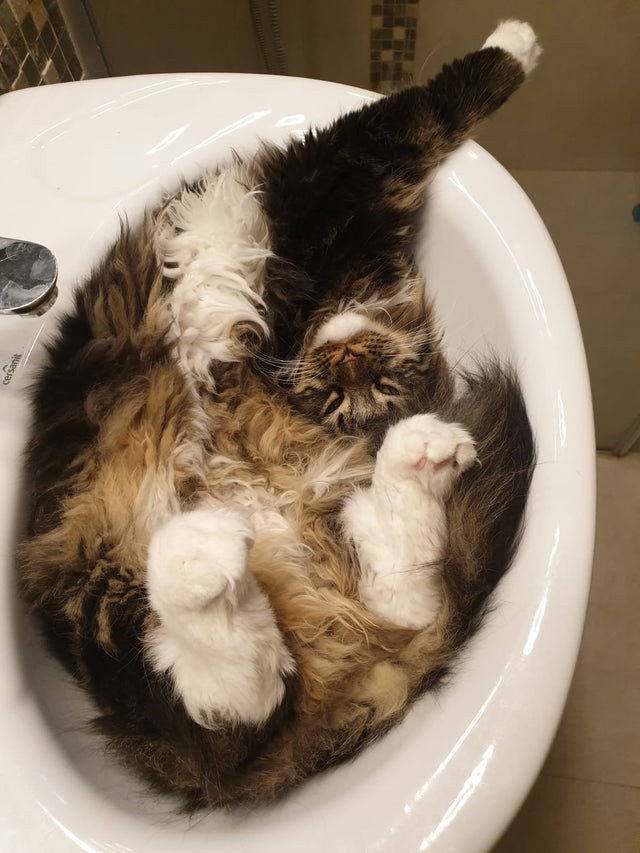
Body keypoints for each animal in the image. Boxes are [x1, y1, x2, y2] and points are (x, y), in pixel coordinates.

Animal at [18, 20, 540, 804]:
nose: (347, 365)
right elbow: (434, 108)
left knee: (237, 712)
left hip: (104, 599)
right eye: (337, 395)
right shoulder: (334, 191)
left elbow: (437, 102)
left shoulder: (338, 171)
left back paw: (210, 558)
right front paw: (519, 42)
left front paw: (518, 41)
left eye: (379, 383)